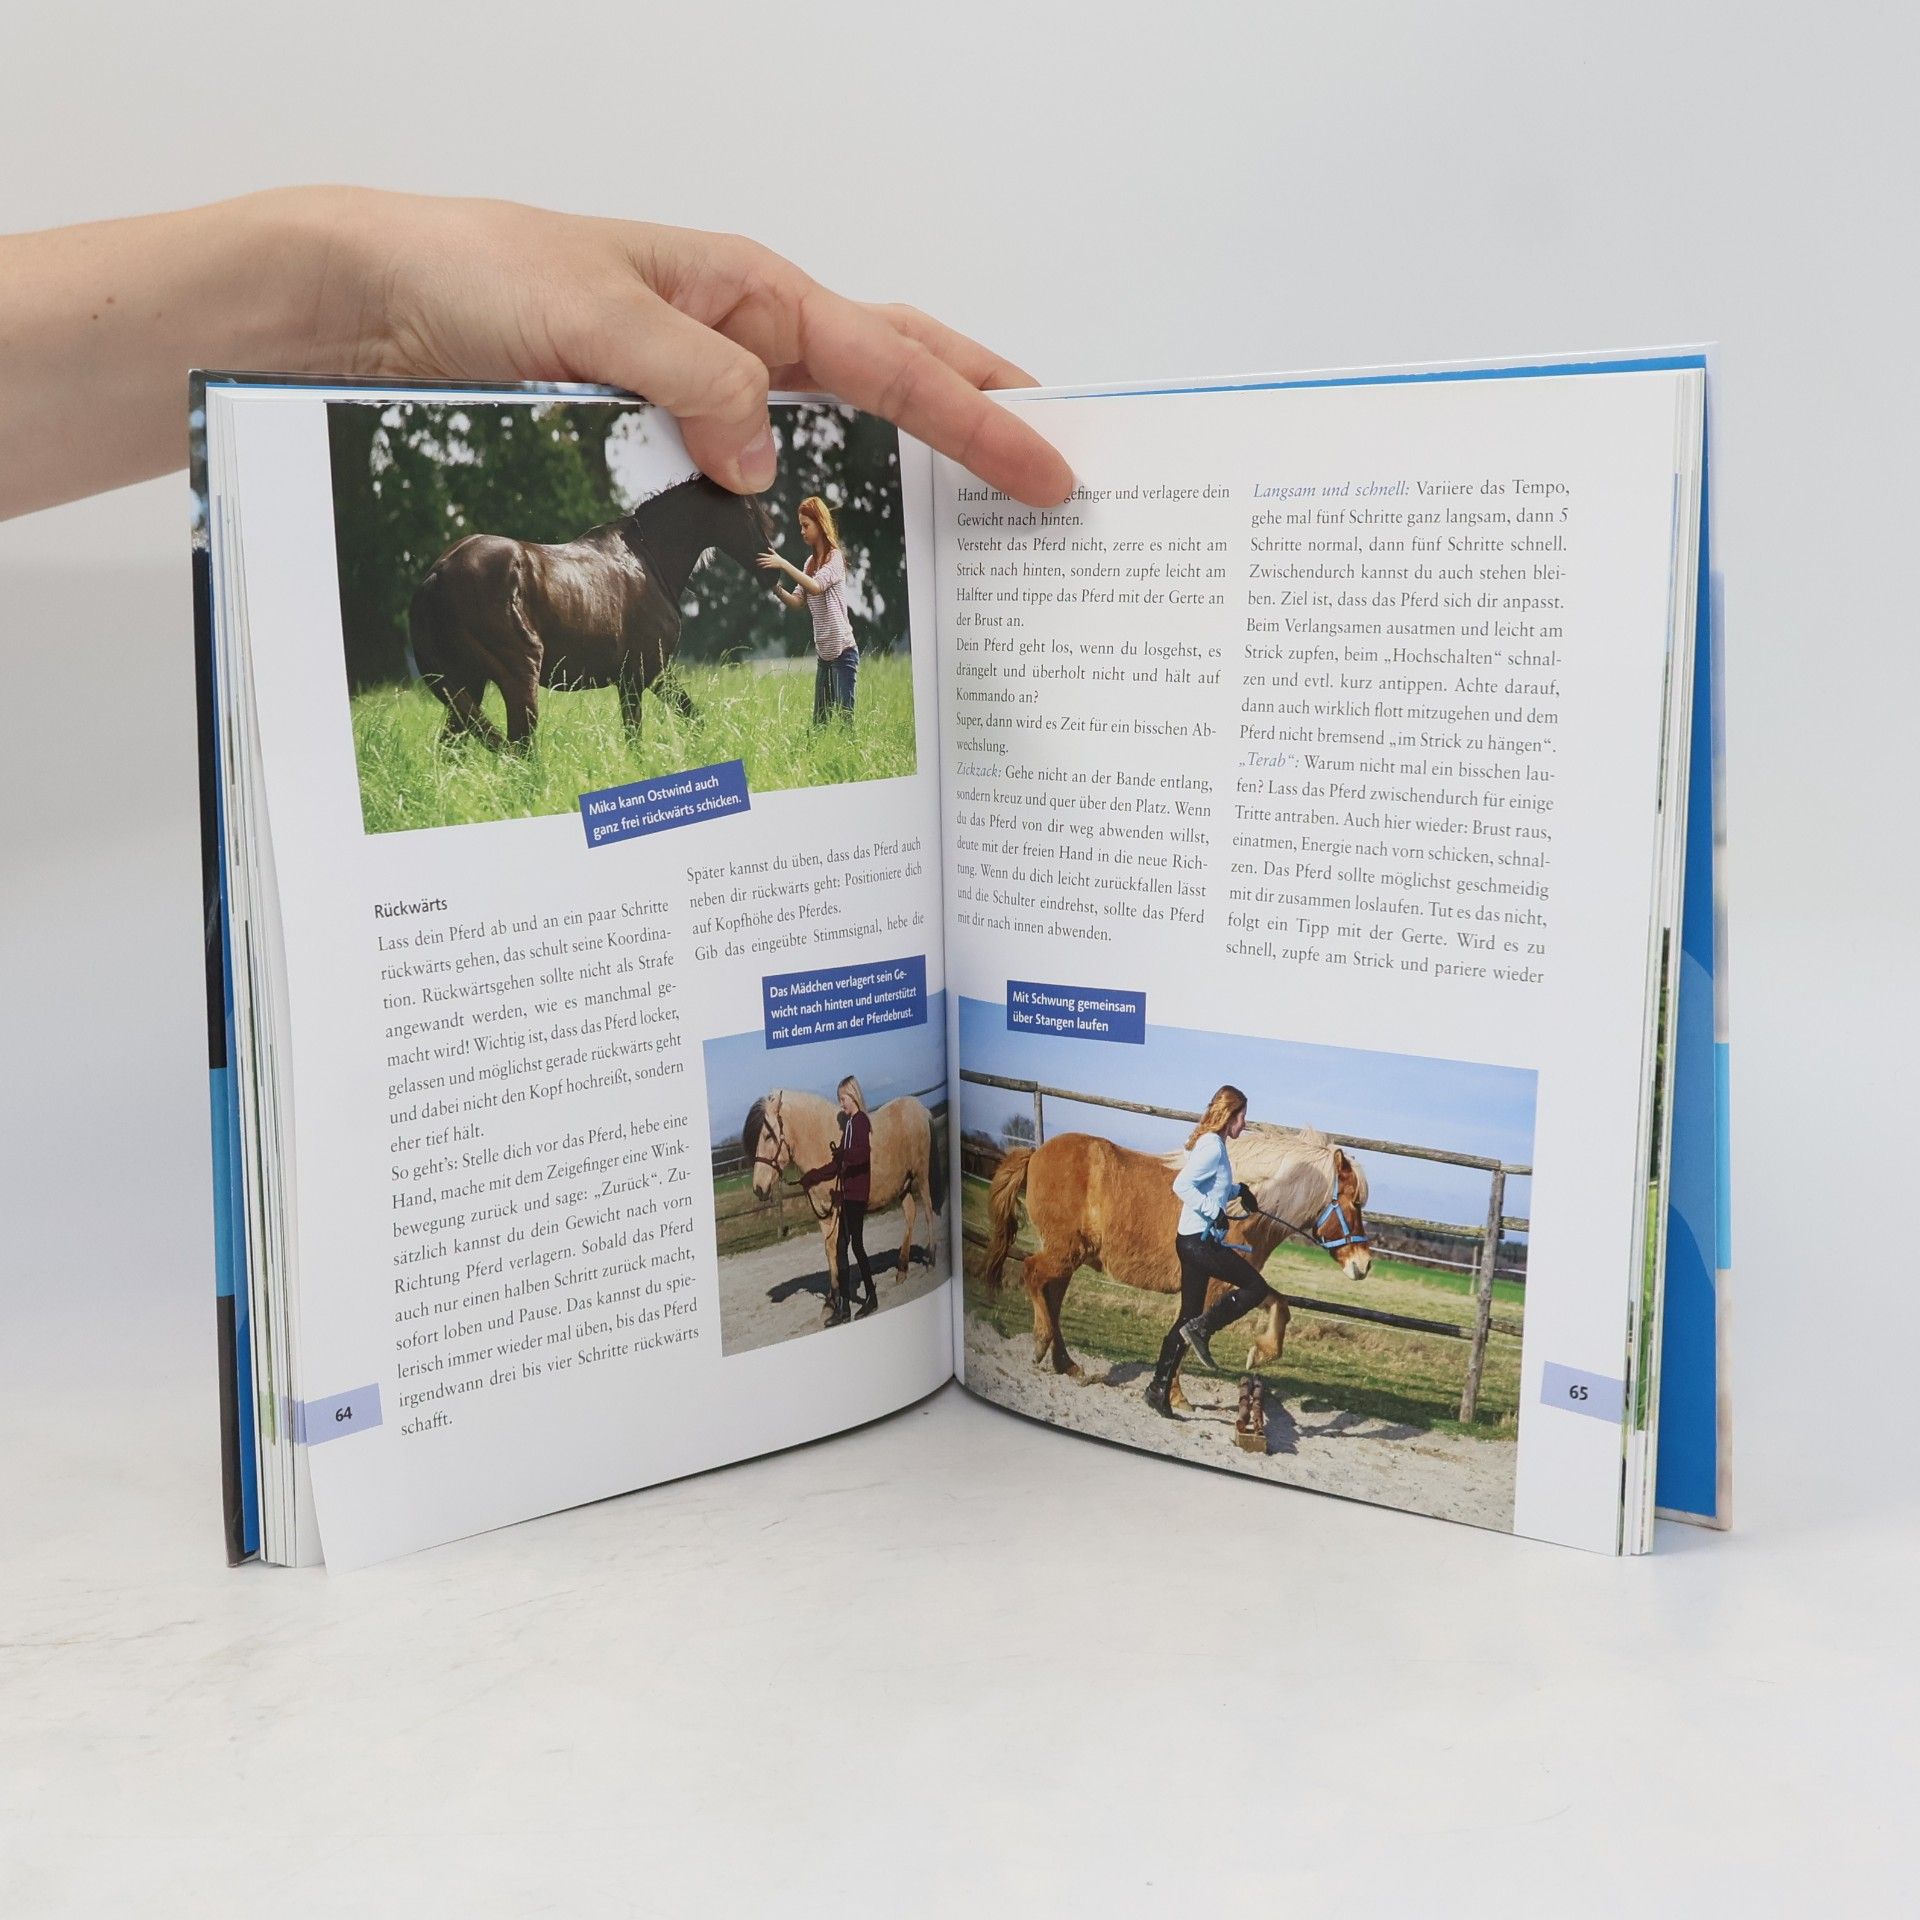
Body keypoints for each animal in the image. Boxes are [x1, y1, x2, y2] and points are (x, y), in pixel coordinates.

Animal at [408, 474, 777, 750]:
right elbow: (638, 738)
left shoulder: (653, 675)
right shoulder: (641, 676)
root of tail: (436, 575)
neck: (648, 560)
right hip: (516, 679)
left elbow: (691, 719)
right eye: (748, 510)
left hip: (466, 685)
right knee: (519, 749)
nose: (772, 571)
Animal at [741, 1089, 947, 1321]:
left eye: (768, 1136)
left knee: (928, 1211)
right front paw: (831, 1303)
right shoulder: (823, 1215)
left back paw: (931, 1259)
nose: (759, 1188)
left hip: (921, 1175)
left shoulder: (839, 1212)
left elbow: (840, 1254)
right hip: (902, 1185)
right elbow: (830, 1251)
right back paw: (901, 1270)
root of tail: (920, 1108)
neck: (821, 1144)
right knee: (911, 1214)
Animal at [978, 1123, 1372, 1409]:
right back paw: (1042, 1343)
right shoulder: (1219, 1283)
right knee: (1032, 1273)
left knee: (1053, 1294)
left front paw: (1258, 1354)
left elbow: (1277, 1305)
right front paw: (1178, 1398)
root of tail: (1035, 1153)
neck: (1243, 1213)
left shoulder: (1235, 1281)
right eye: (1354, 1202)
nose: (1364, 1264)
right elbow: (1189, 1332)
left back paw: (1067, 1365)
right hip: (1063, 1253)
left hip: (1068, 1257)